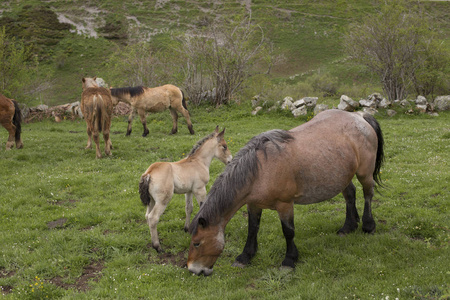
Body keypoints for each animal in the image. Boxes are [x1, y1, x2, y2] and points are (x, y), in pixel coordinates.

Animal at [186, 109, 384, 276]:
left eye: (197, 243)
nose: (194, 270)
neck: (260, 170)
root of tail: (359, 115)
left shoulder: (285, 205)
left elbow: (288, 231)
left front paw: (289, 260)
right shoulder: (253, 205)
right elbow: (252, 229)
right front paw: (245, 256)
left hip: (364, 173)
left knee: (368, 194)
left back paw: (368, 225)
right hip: (342, 176)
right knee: (350, 194)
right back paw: (348, 226)